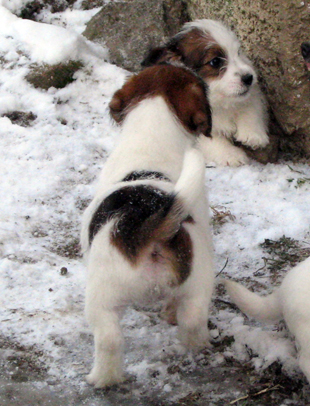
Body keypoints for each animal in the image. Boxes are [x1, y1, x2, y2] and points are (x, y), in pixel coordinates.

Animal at [81, 63, 214, 386]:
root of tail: (151, 229)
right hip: (197, 285)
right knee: (192, 321)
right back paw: (194, 347)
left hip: (100, 298)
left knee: (109, 340)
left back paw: (101, 379)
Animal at [142, 19, 268, 167]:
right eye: (215, 61)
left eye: (238, 52)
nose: (249, 78)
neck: (218, 102)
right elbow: (212, 140)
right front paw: (232, 155)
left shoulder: (252, 94)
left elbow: (251, 107)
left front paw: (253, 134)